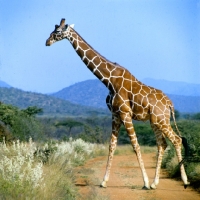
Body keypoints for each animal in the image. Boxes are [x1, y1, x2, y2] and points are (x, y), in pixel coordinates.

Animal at [45, 18, 189, 189]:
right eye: (54, 29)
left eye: (57, 31)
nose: (47, 42)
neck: (109, 80)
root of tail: (170, 104)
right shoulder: (115, 114)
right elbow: (112, 145)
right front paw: (104, 181)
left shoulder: (125, 113)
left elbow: (135, 145)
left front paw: (145, 182)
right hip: (155, 121)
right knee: (162, 144)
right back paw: (156, 183)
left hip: (161, 120)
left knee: (177, 140)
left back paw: (184, 181)